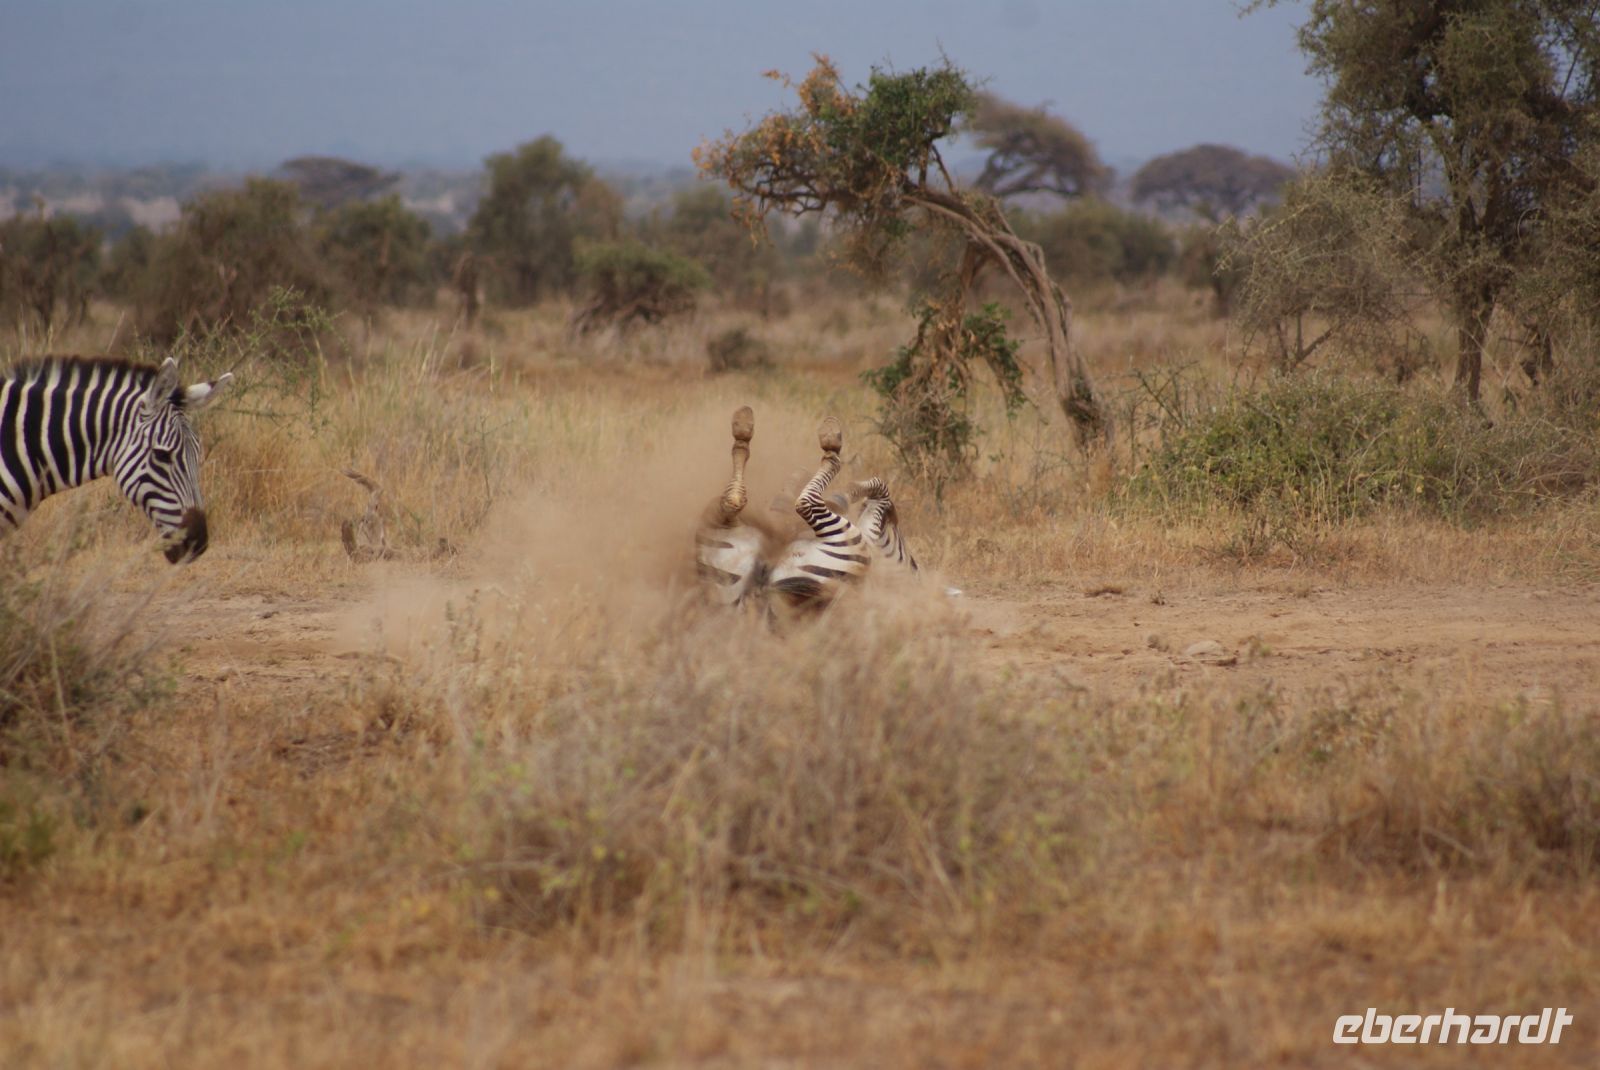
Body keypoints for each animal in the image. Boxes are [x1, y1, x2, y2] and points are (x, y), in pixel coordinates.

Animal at [696, 406, 917, 616]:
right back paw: (743, 425)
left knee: (799, 501)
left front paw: (841, 497)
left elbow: (879, 487)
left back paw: (829, 438)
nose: (893, 519)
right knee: (731, 502)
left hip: (850, 542)